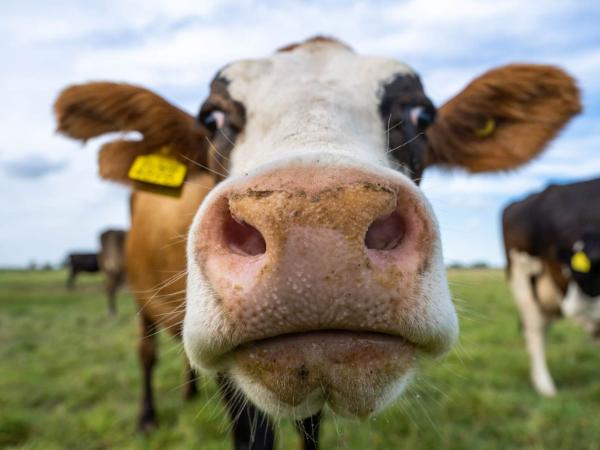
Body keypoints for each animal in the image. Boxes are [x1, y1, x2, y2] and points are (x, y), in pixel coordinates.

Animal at [54, 37, 580, 448]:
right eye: (211, 118)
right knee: (146, 352)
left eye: (422, 113)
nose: (315, 222)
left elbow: (310, 431)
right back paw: (148, 417)